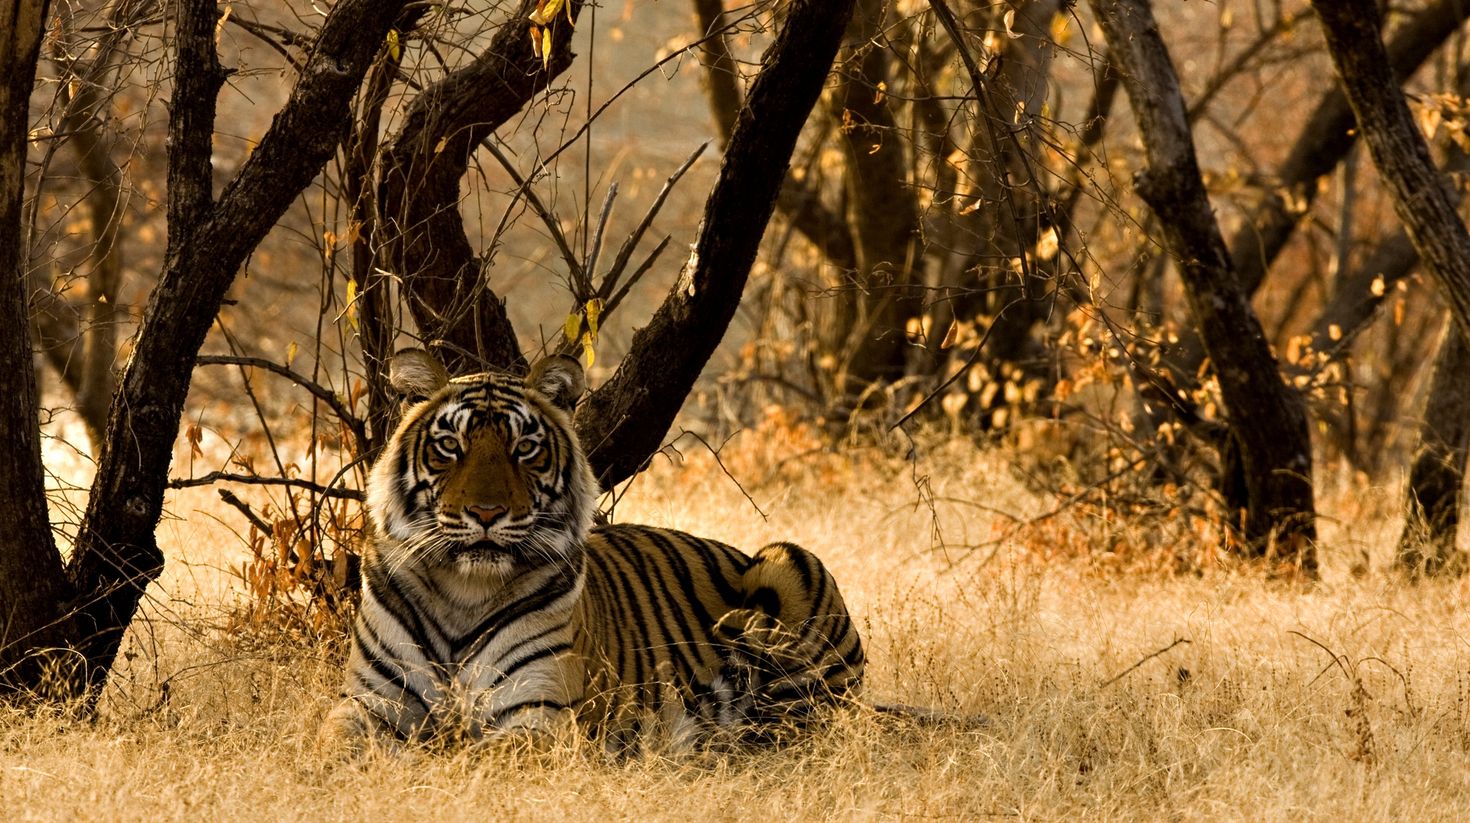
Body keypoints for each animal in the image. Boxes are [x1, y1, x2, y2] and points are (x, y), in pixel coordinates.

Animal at [322, 348, 864, 754]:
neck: (464, 590)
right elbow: (333, 746)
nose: (486, 512)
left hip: (790, 563)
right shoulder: (369, 703)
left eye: (524, 448)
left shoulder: (538, 713)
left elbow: (474, 758)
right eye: (450, 445)